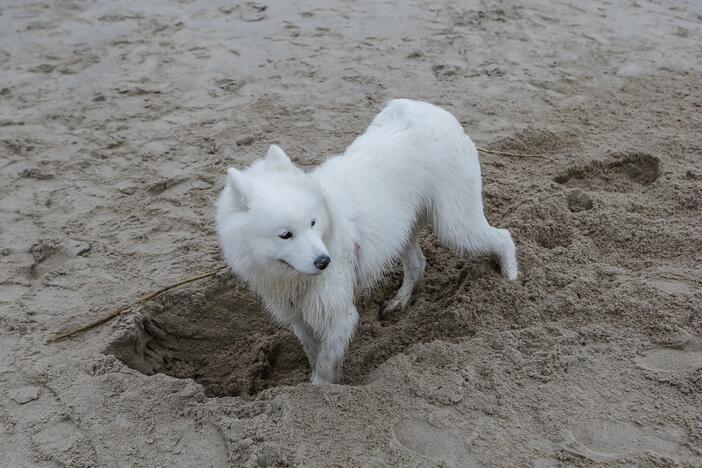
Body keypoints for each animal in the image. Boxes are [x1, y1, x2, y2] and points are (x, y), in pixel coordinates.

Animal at [217, 99, 520, 384]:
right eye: (285, 235)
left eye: (313, 223)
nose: (324, 262)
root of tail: (434, 111)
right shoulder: (299, 317)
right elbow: (314, 352)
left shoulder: (340, 315)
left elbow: (324, 363)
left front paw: (319, 389)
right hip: (405, 229)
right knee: (418, 263)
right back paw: (399, 302)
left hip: (455, 225)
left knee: (503, 236)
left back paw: (511, 281)